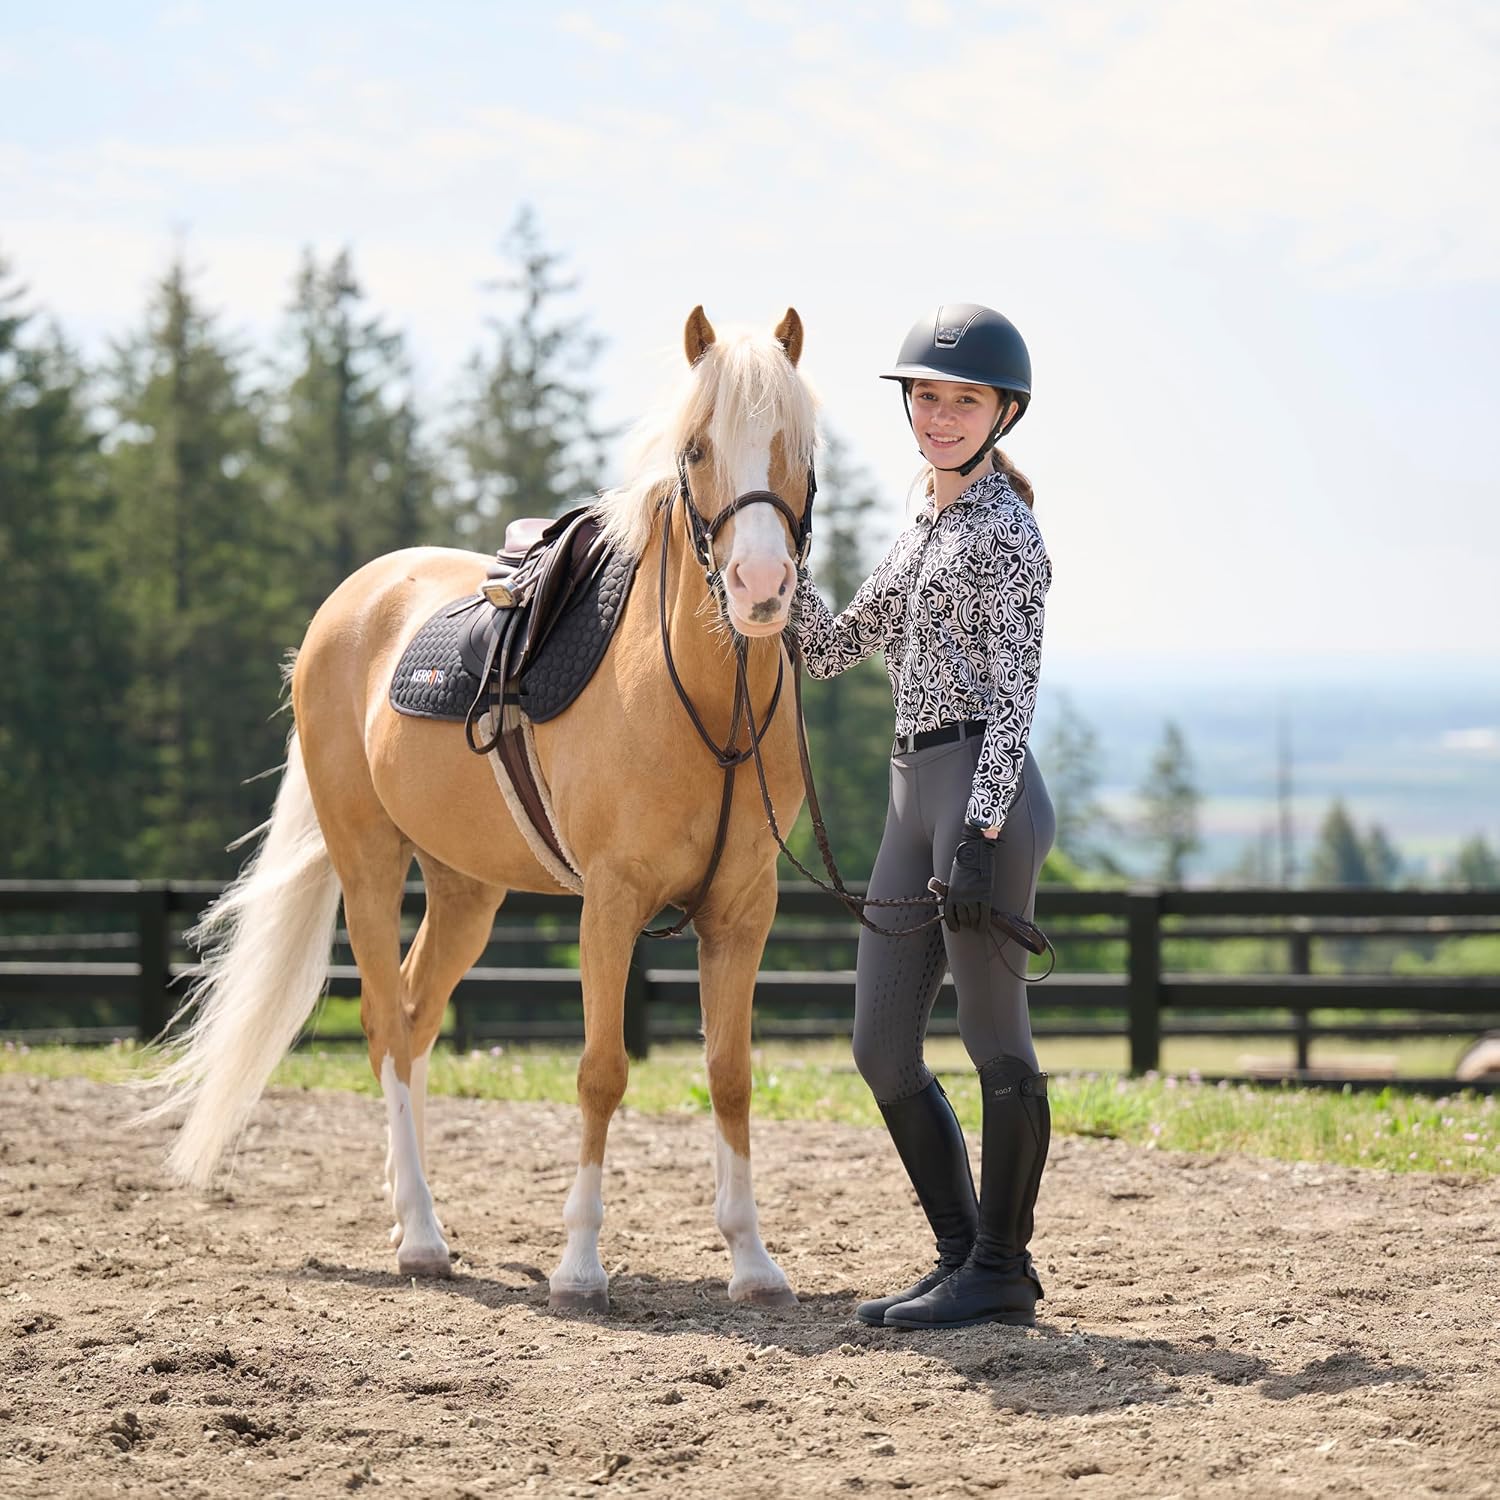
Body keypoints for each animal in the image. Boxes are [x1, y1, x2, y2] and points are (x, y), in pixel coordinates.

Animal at [144, 307, 818, 1312]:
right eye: (697, 449)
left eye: (800, 449)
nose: (762, 588)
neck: (699, 699)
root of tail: (346, 607)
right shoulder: (610, 903)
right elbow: (602, 1071)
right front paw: (580, 1267)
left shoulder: (743, 910)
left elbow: (730, 1075)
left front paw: (752, 1261)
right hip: (369, 864)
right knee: (387, 1025)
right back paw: (421, 1238)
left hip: (463, 891)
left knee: (417, 1018)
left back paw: (407, 1210)